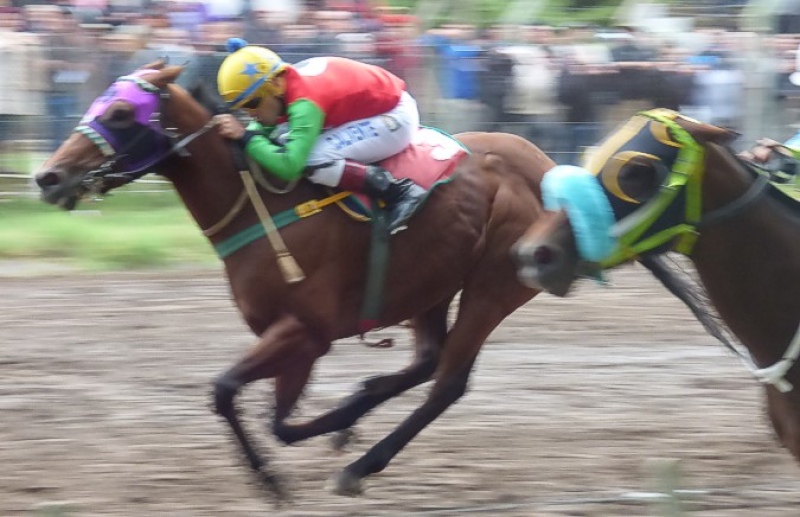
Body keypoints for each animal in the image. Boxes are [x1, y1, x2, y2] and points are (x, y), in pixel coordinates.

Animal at [34, 62, 556, 497]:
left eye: (121, 113)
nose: (48, 177)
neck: (260, 202)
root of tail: (543, 166)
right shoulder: (288, 335)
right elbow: (276, 420)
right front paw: (340, 423)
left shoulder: (306, 331)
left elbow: (233, 394)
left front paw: (273, 479)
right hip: (434, 284)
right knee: (429, 361)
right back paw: (361, 414)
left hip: (491, 288)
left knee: (448, 383)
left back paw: (359, 465)